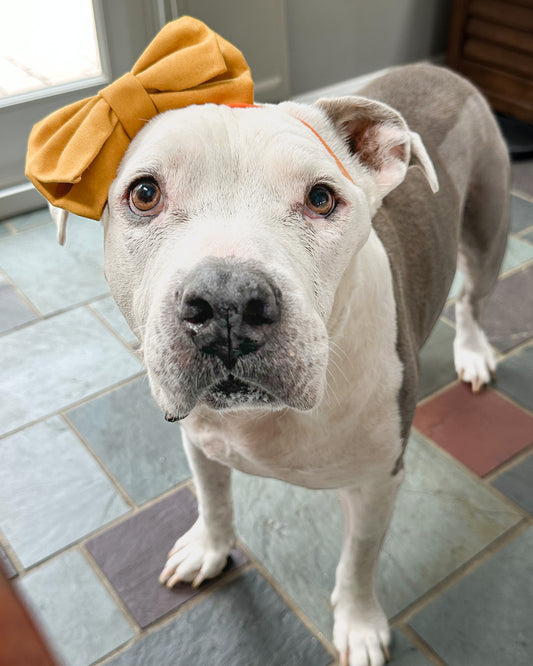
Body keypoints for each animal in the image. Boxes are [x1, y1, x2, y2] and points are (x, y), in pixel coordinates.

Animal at [48, 63, 508, 664]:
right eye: (145, 193)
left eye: (321, 198)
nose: (227, 302)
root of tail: (438, 69)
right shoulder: (200, 442)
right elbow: (214, 501)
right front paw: (210, 548)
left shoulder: (378, 483)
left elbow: (359, 560)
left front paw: (359, 624)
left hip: (486, 231)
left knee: (472, 300)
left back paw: (473, 353)